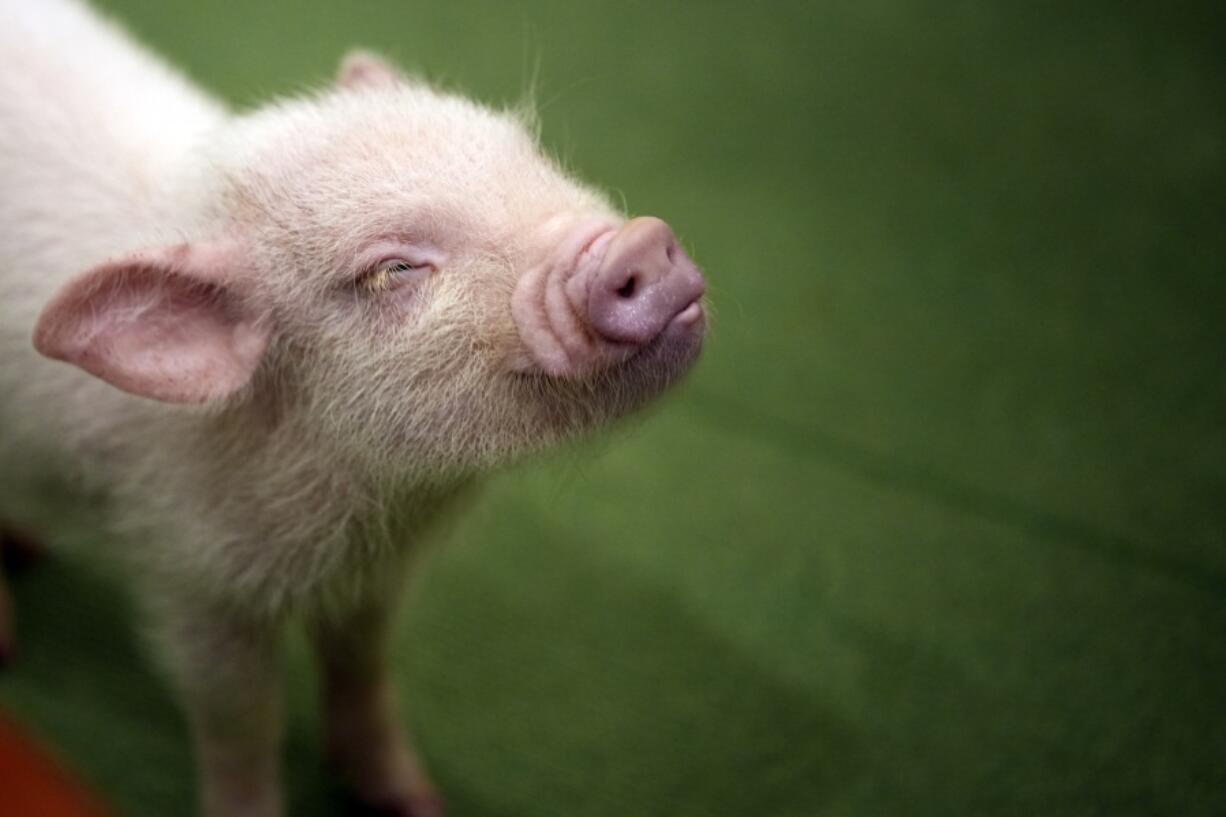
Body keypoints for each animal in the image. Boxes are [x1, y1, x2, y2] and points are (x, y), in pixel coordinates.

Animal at [0, 1, 711, 814]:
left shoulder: (376, 578)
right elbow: (241, 717)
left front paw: (416, 799)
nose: (641, 243)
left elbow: (364, 666)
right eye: (393, 270)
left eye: (531, 155)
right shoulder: (193, 577)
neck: (366, 508)